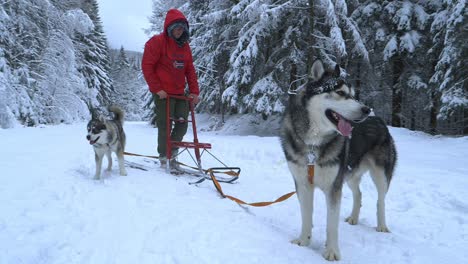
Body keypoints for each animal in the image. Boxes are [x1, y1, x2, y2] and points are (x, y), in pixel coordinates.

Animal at [280, 59, 396, 260]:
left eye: (354, 95)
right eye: (340, 93)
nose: (366, 109)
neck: (313, 145)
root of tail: (379, 120)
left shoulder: (334, 187)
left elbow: (331, 224)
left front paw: (332, 251)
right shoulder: (303, 183)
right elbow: (306, 215)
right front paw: (303, 241)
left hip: (380, 174)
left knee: (380, 200)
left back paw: (382, 225)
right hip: (349, 174)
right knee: (359, 194)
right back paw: (354, 218)